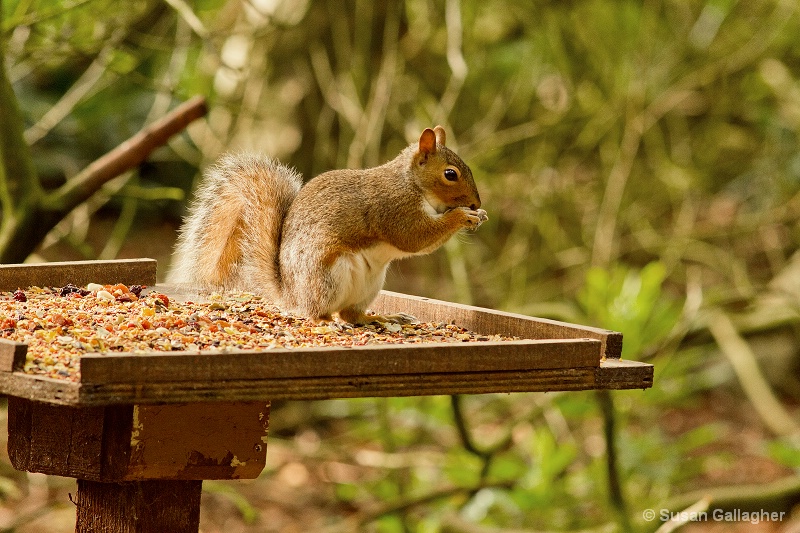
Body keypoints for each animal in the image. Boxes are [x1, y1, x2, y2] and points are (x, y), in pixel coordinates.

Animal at [167, 125, 488, 324]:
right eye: (450, 174)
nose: (475, 203)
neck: (411, 183)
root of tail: (291, 295)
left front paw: (478, 216)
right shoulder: (394, 208)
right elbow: (415, 238)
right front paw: (463, 217)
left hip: (370, 285)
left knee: (351, 315)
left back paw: (381, 318)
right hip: (327, 276)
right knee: (319, 312)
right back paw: (327, 321)